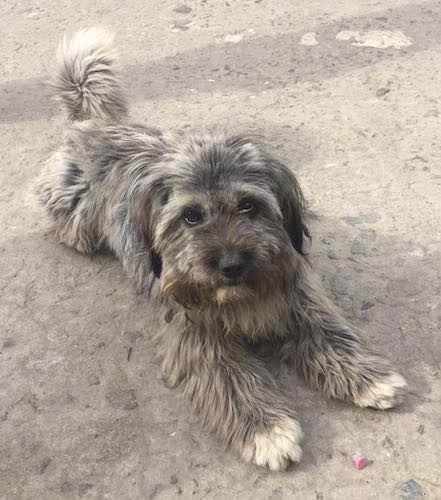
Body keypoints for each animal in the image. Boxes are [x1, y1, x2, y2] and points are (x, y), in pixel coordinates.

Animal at [37, 29, 406, 470]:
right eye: (190, 216)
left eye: (248, 205)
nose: (231, 265)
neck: (239, 298)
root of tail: (91, 126)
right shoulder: (195, 334)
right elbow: (231, 377)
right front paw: (267, 430)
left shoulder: (299, 295)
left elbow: (329, 331)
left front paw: (370, 377)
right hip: (73, 211)